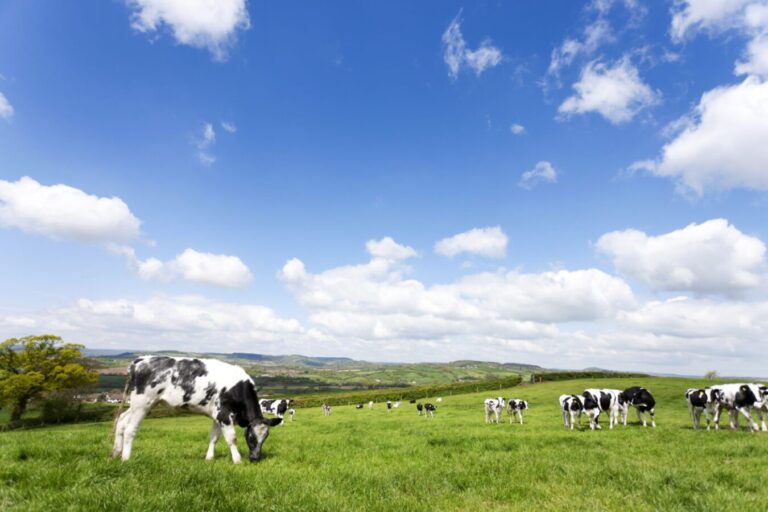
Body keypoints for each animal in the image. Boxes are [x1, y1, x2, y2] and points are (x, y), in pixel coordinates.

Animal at [111, 356, 282, 464]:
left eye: (265, 437)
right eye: (251, 436)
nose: (255, 458)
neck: (238, 388)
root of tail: (139, 360)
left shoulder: (217, 415)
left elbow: (214, 437)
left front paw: (209, 458)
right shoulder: (224, 414)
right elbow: (231, 438)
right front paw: (238, 460)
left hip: (137, 404)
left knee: (121, 420)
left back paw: (115, 453)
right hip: (142, 403)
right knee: (130, 428)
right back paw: (126, 458)